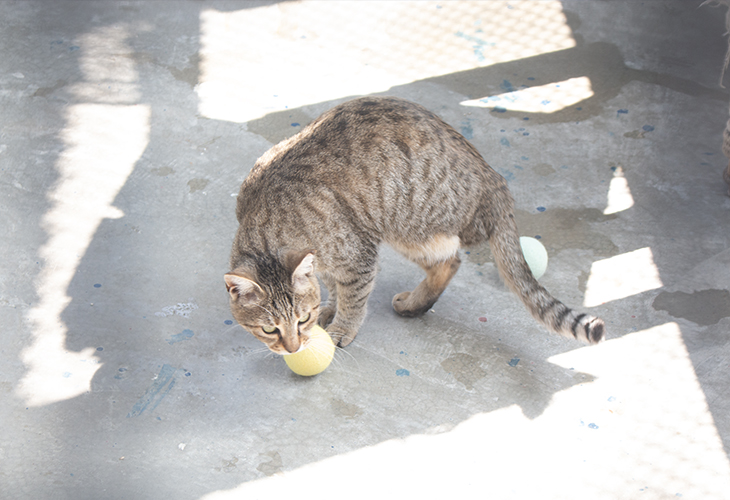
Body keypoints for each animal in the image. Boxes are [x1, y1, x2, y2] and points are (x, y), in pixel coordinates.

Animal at [223, 95, 604, 354]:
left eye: (300, 322)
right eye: (270, 330)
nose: (294, 348)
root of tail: (496, 179)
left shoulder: (357, 252)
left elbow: (354, 298)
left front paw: (342, 326)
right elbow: (330, 285)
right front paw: (327, 305)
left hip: (404, 223)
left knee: (450, 261)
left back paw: (414, 304)